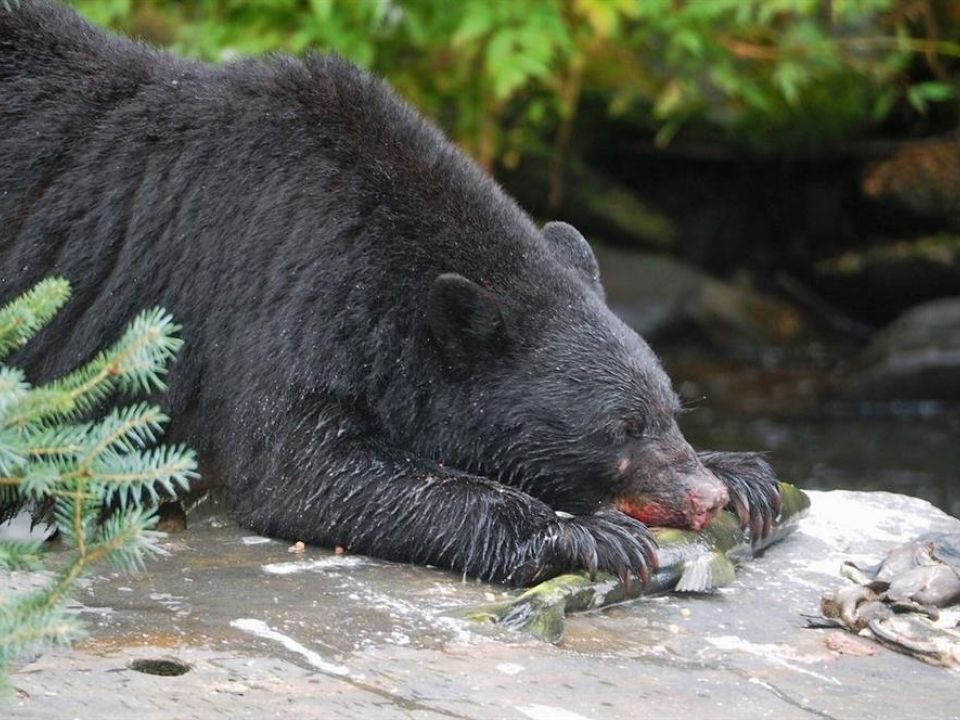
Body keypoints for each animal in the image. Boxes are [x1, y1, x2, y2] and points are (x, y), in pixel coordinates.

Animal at [0, 0, 780, 584]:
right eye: (621, 428)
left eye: (670, 409)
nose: (703, 498)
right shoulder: (275, 293)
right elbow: (301, 469)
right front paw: (585, 535)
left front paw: (743, 472)